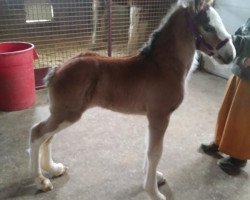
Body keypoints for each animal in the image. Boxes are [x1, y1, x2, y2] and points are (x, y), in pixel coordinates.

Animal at [30, 0, 235, 199]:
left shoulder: (152, 117)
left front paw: (155, 178)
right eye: (208, 26)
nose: (230, 55)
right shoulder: (160, 116)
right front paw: (154, 192)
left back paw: (54, 169)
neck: (163, 66)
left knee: (47, 137)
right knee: (37, 132)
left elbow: (148, 147)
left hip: (62, 113)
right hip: (67, 114)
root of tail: (56, 69)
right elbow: (155, 152)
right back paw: (41, 181)